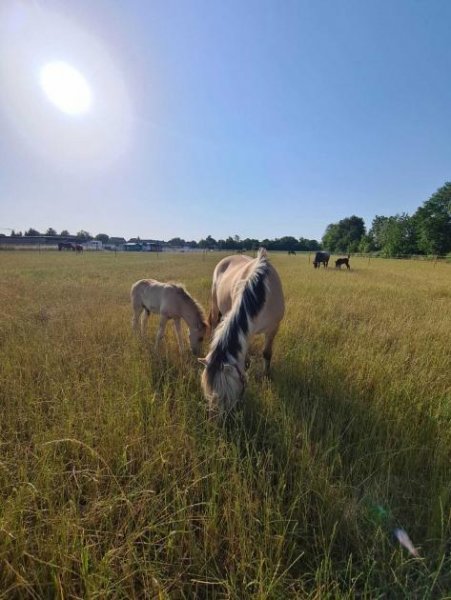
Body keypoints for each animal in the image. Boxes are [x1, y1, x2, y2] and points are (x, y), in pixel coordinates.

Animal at [200, 247, 284, 418]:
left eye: (226, 394)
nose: (218, 419)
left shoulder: (273, 328)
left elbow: (267, 353)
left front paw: (266, 376)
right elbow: (245, 359)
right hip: (215, 305)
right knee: (214, 325)